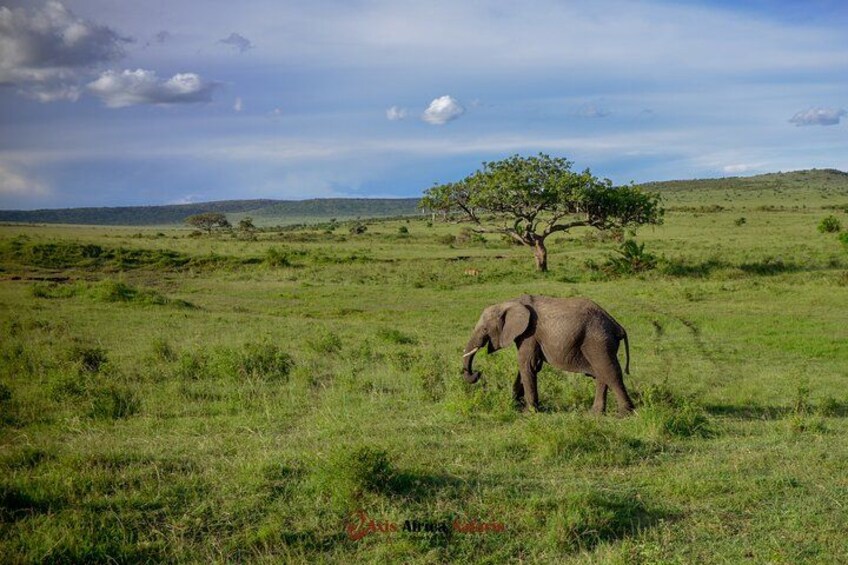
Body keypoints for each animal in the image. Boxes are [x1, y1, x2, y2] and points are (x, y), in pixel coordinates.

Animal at [461, 295, 634, 415]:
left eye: (485, 329)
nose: (477, 373)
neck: (510, 302)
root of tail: (616, 325)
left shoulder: (530, 333)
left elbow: (526, 364)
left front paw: (528, 413)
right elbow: (529, 367)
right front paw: (516, 405)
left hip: (597, 340)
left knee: (609, 371)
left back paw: (624, 414)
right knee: (601, 373)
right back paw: (596, 414)